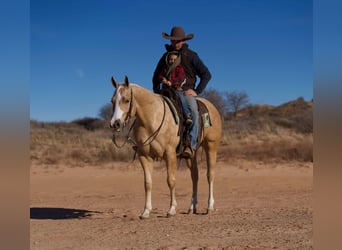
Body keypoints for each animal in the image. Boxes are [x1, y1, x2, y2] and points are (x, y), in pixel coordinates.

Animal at [109, 76, 222, 219]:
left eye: (126, 100)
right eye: (112, 101)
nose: (115, 123)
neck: (152, 118)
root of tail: (212, 107)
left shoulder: (170, 154)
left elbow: (171, 180)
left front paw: (172, 209)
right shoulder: (144, 156)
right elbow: (147, 183)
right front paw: (146, 211)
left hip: (211, 146)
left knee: (210, 175)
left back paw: (210, 207)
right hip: (192, 153)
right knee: (195, 176)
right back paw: (192, 207)